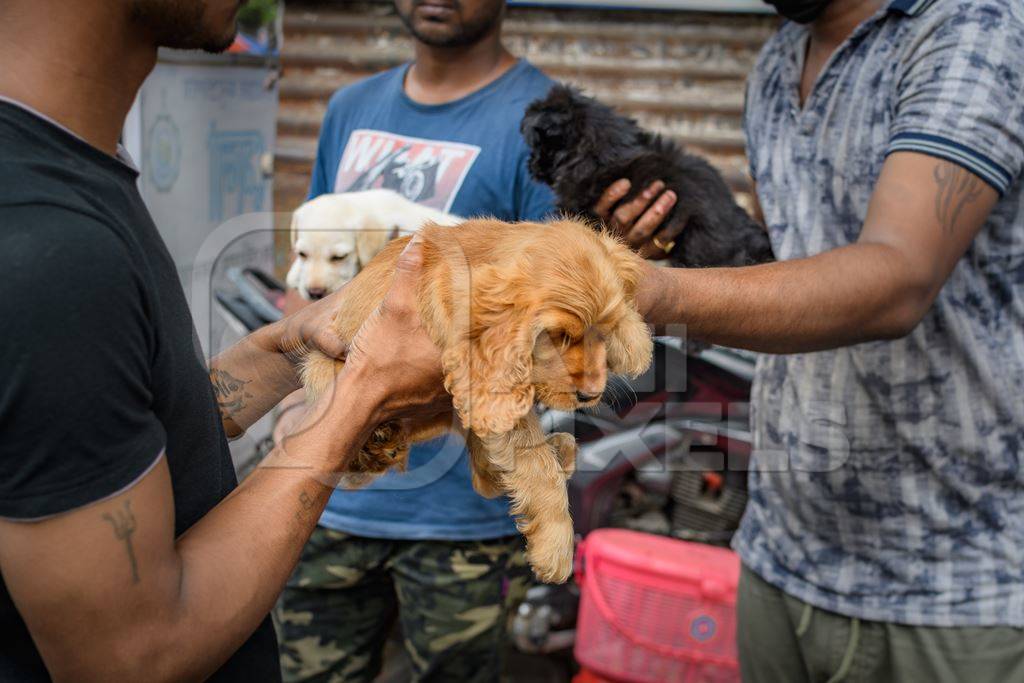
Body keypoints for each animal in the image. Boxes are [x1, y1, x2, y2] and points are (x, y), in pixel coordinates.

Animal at [303, 219, 651, 581]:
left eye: (603, 332)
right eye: (559, 337)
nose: (590, 395)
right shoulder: (489, 386)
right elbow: (535, 461)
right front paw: (556, 544)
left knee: (485, 475)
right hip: (323, 368)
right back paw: (380, 442)